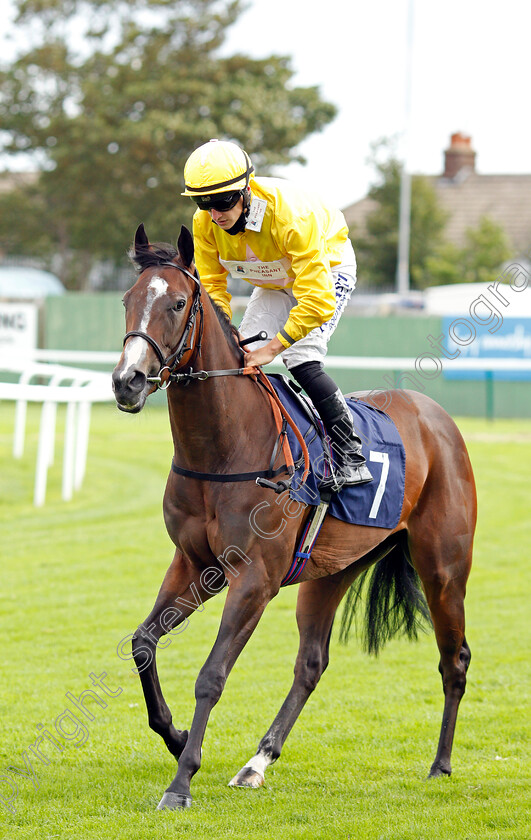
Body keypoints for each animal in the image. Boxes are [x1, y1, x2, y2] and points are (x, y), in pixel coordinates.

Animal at [112, 221, 478, 808]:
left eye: (176, 303)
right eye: (128, 300)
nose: (127, 382)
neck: (225, 448)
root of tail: (437, 418)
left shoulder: (254, 579)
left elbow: (211, 675)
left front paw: (181, 780)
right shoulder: (195, 564)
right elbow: (143, 643)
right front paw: (176, 736)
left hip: (444, 566)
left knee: (454, 658)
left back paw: (440, 764)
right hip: (331, 570)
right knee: (311, 662)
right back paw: (257, 762)